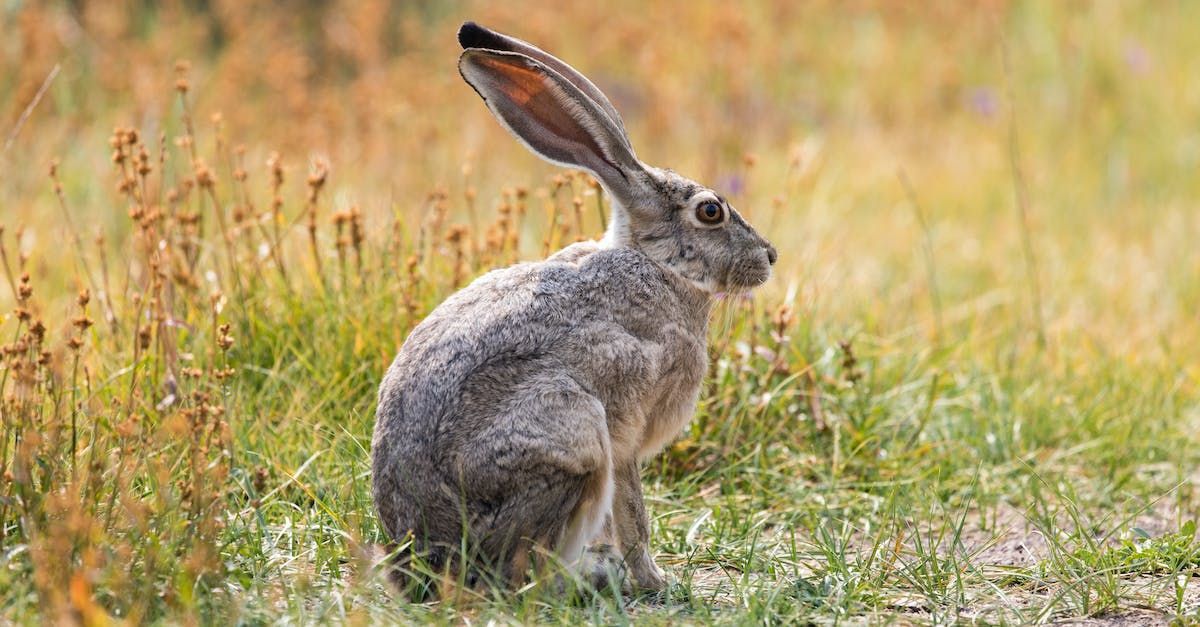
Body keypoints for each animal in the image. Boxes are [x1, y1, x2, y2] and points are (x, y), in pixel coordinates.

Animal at [371, 21, 777, 594]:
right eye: (710, 212)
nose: (769, 257)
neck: (657, 266)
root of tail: (428, 558)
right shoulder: (624, 427)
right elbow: (633, 514)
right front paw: (655, 581)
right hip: (572, 435)